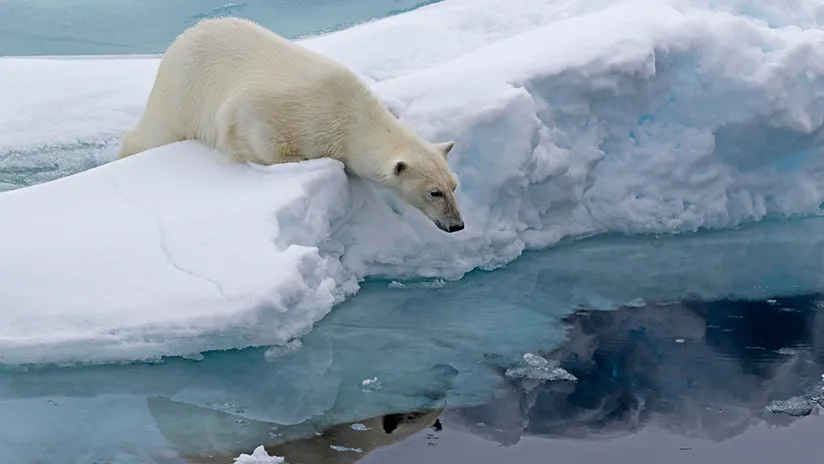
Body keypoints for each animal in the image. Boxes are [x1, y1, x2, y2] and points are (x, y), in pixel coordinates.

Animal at [118, 17, 465, 233]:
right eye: (434, 192)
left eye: (453, 186)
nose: (457, 225)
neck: (347, 112)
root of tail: (184, 37)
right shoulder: (277, 113)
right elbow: (261, 138)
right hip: (182, 93)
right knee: (153, 134)